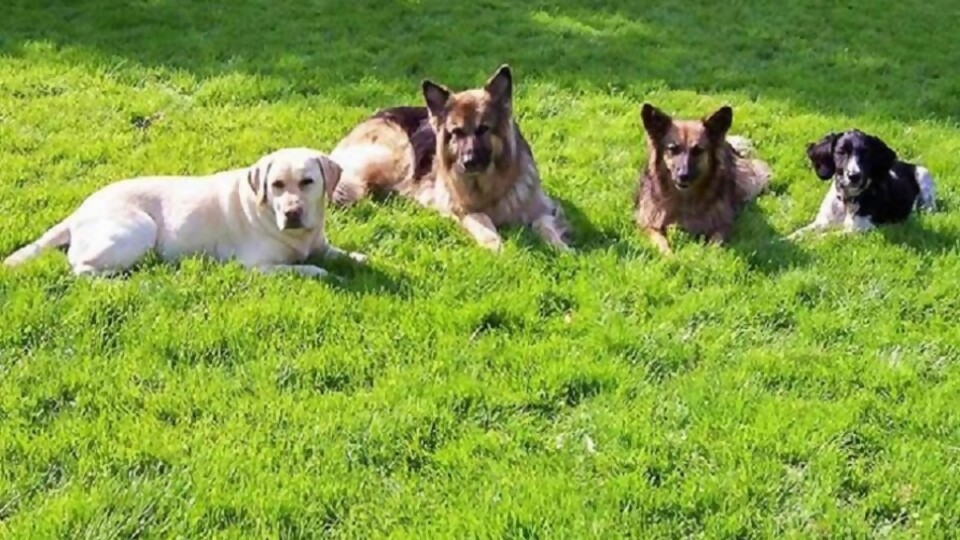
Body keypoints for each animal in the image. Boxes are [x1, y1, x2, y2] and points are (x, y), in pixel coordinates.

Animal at [2, 148, 364, 278]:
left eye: (307, 182)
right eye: (276, 185)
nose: (291, 212)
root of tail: (78, 211)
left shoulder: (320, 244)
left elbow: (342, 254)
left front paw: (358, 258)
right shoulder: (257, 266)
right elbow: (305, 269)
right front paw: (324, 273)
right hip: (139, 229)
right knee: (81, 268)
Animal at [330, 63, 568, 253]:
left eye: (483, 129)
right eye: (456, 133)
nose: (468, 162)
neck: (489, 188)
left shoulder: (544, 208)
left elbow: (543, 225)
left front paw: (560, 247)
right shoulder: (461, 209)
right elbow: (483, 221)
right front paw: (496, 246)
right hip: (397, 158)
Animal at [636, 103, 772, 255]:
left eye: (698, 150)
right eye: (672, 149)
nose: (683, 176)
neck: (685, 198)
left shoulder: (723, 223)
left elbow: (716, 240)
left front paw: (708, 255)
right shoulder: (648, 221)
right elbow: (660, 240)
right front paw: (670, 256)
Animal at [788, 130, 936, 237]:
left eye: (866, 153)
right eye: (841, 152)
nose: (854, 176)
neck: (846, 202)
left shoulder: (861, 228)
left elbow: (825, 237)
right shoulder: (822, 221)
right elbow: (800, 232)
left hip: (924, 175)